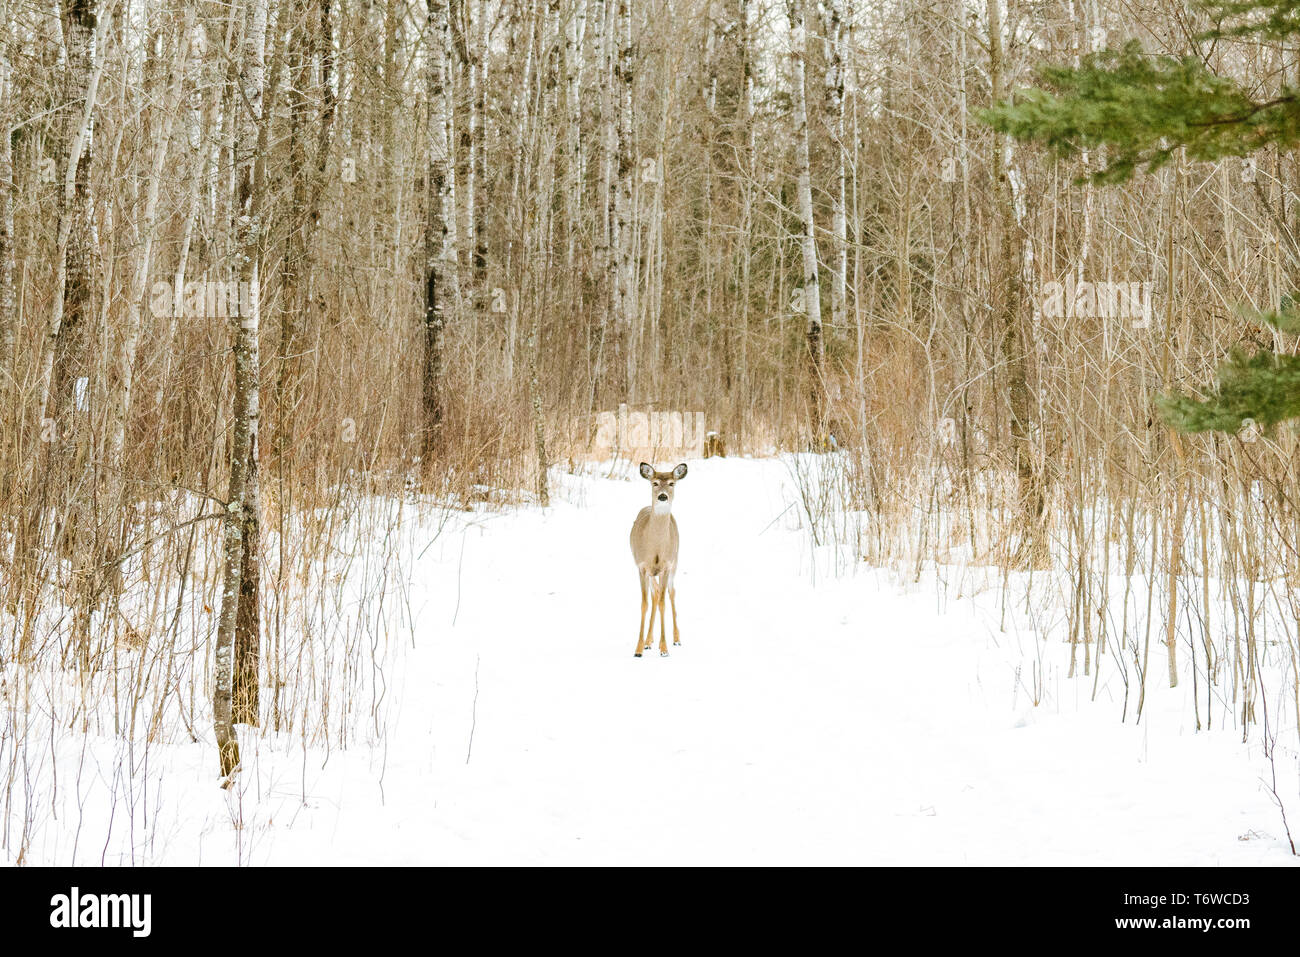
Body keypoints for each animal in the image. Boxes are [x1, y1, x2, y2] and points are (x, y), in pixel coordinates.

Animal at [629, 462, 688, 657]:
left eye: (671, 483)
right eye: (654, 483)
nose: (663, 496)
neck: (655, 548)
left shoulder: (665, 566)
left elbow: (663, 603)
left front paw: (664, 649)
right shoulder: (641, 567)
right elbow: (644, 604)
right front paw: (638, 649)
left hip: (675, 563)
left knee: (671, 593)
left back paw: (676, 639)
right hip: (650, 573)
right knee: (654, 595)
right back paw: (648, 641)